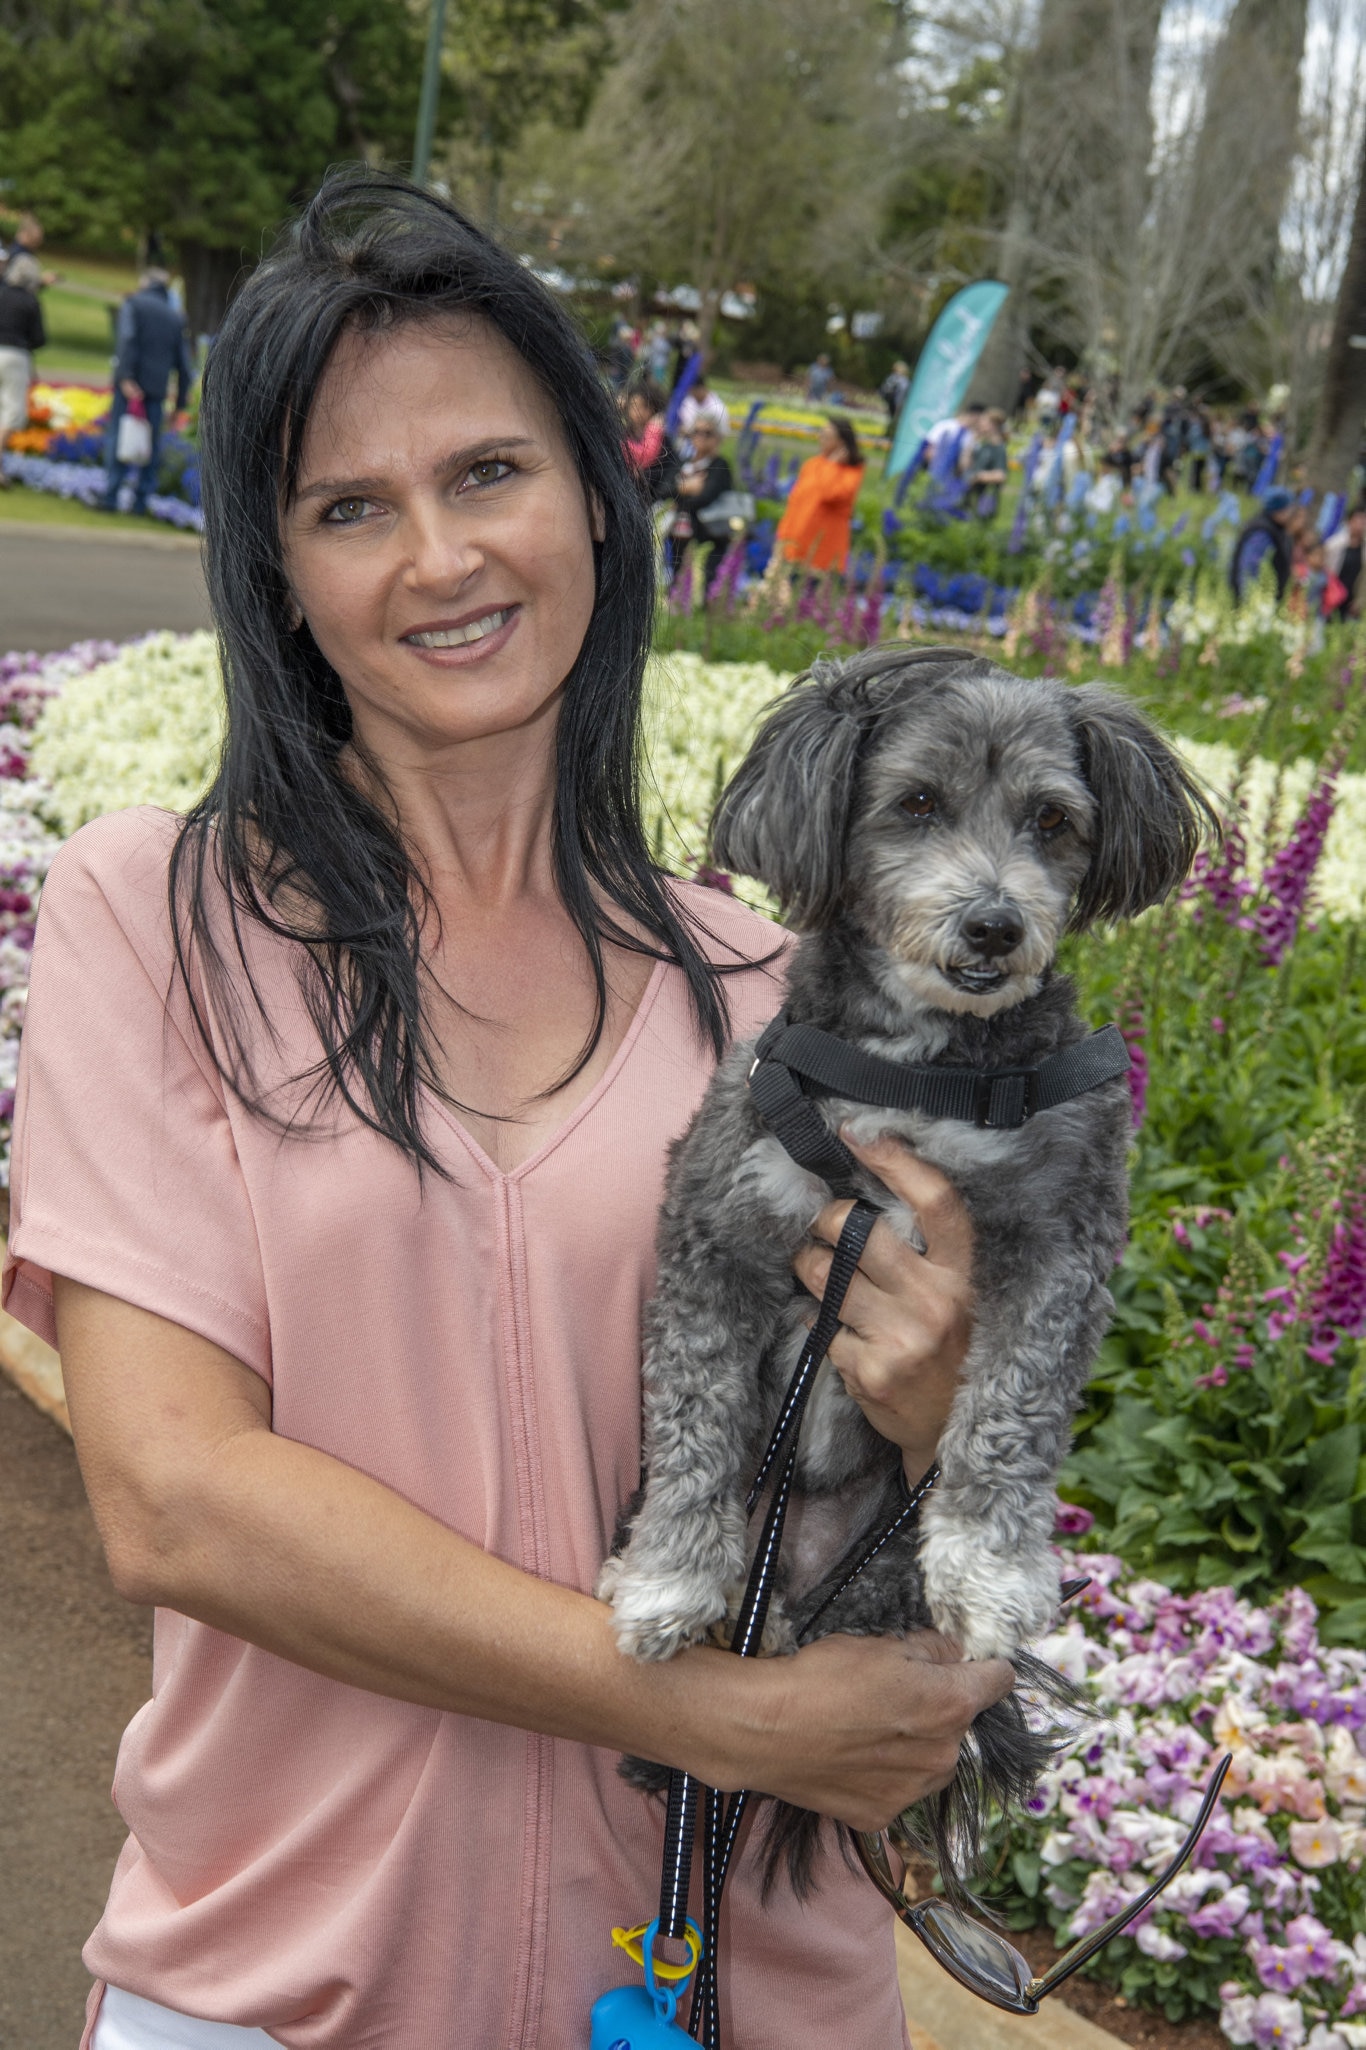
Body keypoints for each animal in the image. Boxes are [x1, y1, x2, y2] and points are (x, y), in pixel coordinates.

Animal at [594, 647, 1206, 1869]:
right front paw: (668, 1576)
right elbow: (693, 1421)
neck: (919, 1076)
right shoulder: (717, 1225)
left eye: (1053, 820)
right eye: (916, 803)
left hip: (874, 1573)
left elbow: (1009, 1411)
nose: (994, 925)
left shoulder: (1063, 1236)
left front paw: (992, 1566)